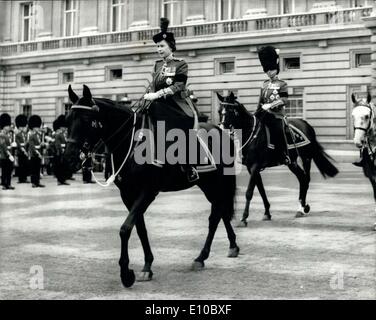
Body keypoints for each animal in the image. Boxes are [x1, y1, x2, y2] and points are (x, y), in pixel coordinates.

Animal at [63, 85, 239, 288]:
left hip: (216, 183)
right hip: (207, 185)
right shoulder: (128, 194)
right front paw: (147, 265)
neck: (132, 142)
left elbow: (125, 229)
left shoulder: (148, 191)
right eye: (68, 119)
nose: (69, 158)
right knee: (221, 212)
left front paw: (126, 273)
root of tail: (221, 130)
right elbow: (139, 228)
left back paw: (201, 257)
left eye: (86, 120)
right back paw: (231, 246)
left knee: (214, 217)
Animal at [217, 92, 338, 225]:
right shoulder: (251, 168)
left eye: (230, 110)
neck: (251, 134)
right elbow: (261, 190)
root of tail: (306, 124)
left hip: (306, 158)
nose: (222, 129)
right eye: (219, 111)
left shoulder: (255, 166)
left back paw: (302, 208)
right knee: (302, 179)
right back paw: (301, 207)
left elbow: (249, 192)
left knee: (306, 179)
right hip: (292, 162)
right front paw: (267, 213)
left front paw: (244, 218)